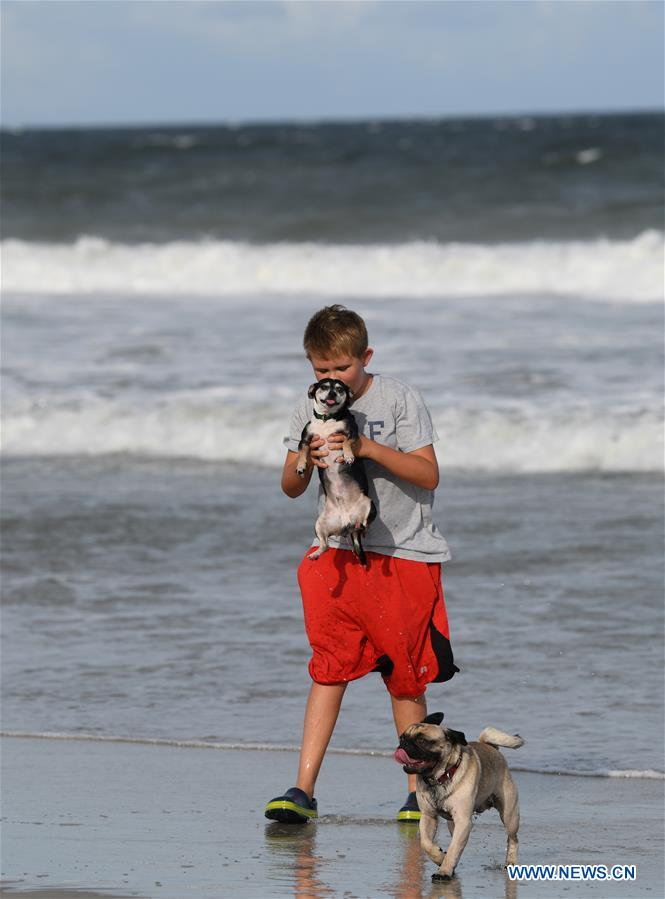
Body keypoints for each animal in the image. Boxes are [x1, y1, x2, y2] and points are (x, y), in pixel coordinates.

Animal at [294, 378, 374, 564]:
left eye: (339, 389)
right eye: (324, 387)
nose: (332, 393)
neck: (326, 419)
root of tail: (348, 522)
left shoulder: (351, 433)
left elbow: (345, 441)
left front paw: (349, 455)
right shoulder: (305, 440)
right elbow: (303, 451)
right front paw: (301, 465)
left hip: (369, 504)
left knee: (365, 523)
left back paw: (363, 528)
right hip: (320, 525)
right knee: (325, 546)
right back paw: (316, 554)